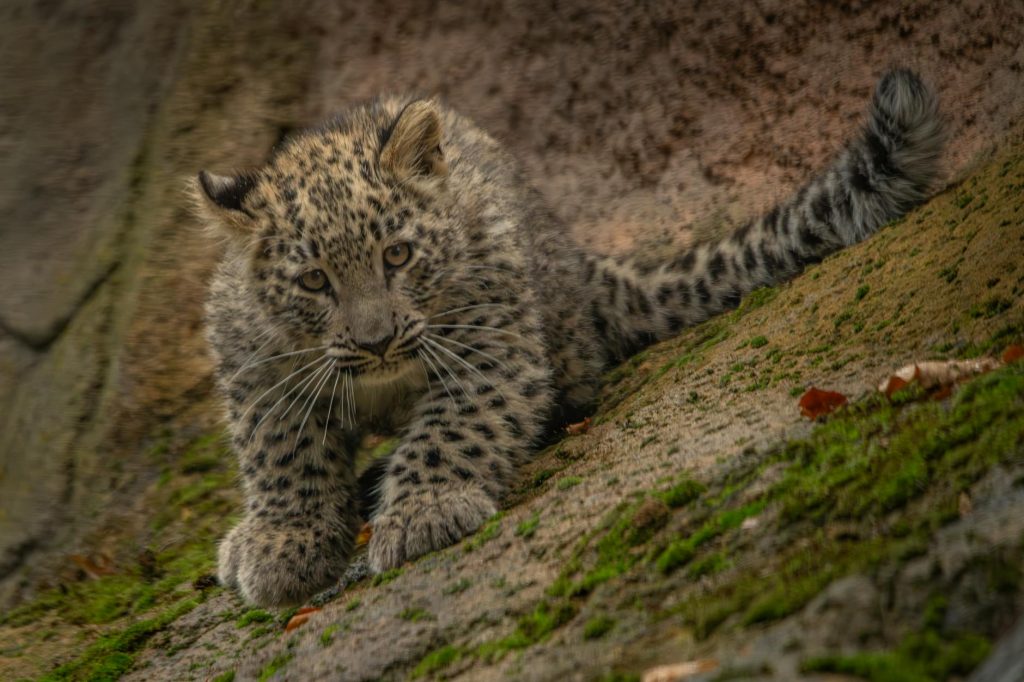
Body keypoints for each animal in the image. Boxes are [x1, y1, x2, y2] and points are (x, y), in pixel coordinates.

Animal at [195, 68, 943, 607]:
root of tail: (579, 257)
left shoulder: (490, 347)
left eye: (398, 256)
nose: (376, 340)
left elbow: (451, 432)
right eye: (315, 281)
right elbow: (284, 461)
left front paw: (422, 512)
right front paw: (281, 544)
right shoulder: (260, 377)